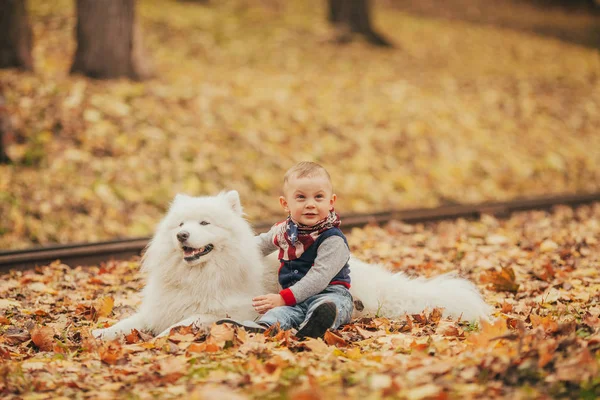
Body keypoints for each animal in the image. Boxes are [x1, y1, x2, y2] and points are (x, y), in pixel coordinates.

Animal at [92, 191, 488, 340]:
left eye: (204, 223)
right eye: (180, 224)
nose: (182, 236)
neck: (201, 275)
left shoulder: (222, 308)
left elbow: (186, 321)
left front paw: (163, 337)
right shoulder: (159, 306)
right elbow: (128, 323)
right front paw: (99, 334)